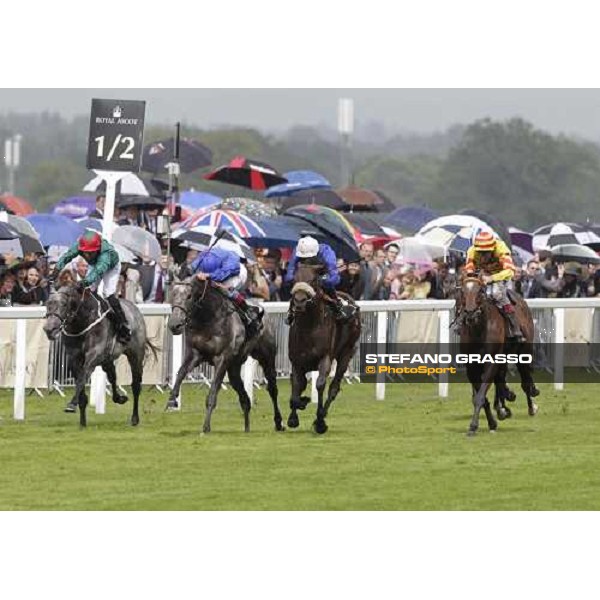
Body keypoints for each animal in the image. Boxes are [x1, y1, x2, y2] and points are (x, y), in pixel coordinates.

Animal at [44, 284, 157, 428]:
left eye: (64, 304)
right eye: (48, 304)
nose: (49, 329)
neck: (82, 322)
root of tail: (134, 307)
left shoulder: (94, 356)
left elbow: (82, 377)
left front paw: (72, 404)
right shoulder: (74, 359)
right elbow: (81, 383)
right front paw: (82, 422)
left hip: (135, 355)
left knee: (136, 385)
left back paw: (135, 418)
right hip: (107, 360)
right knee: (113, 376)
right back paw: (119, 398)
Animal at [166, 278, 284, 434]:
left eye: (189, 296)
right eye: (172, 295)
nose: (175, 325)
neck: (208, 319)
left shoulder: (222, 359)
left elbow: (212, 394)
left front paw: (206, 427)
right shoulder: (195, 354)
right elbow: (181, 372)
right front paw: (172, 399)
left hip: (266, 357)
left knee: (272, 389)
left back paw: (278, 422)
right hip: (234, 368)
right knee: (244, 398)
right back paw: (247, 428)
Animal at [286, 264, 360, 434]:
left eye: (313, 280)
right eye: (294, 279)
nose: (299, 301)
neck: (308, 327)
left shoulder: (325, 358)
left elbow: (320, 384)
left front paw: (320, 422)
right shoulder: (297, 362)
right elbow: (297, 386)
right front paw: (294, 415)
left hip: (346, 353)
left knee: (334, 388)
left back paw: (322, 415)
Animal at [458, 276, 540, 436]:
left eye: (480, 291)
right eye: (462, 292)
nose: (470, 314)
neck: (479, 331)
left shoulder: (492, 361)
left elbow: (480, 396)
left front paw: (473, 426)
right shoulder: (471, 367)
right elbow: (481, 396)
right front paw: (492, 422)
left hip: (524, 349)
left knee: (525, 379)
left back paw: (531, 403)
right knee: (501, 378)